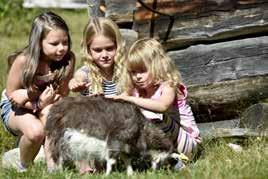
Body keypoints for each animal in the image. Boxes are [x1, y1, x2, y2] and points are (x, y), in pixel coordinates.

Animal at [45, 95, 176, 175]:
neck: (141, 128)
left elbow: (127, 159)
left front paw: (130, 173)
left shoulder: (125, 145)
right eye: (162, 160)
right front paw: (107, 174)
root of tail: (55, 109)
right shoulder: (115, 139)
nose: (156, 171)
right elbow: (111, 160)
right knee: (58, 155)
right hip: (60, 136)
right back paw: (60, 171)